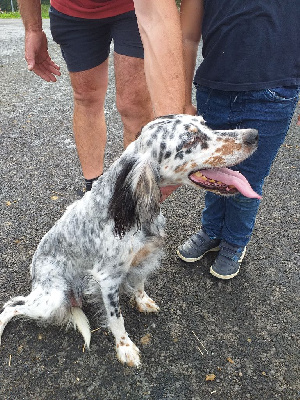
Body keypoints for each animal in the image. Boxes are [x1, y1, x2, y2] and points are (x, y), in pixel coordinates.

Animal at [0, 114, 260, 368]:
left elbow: (140, 284)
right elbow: (117, 319)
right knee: (12, 306)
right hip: (52, 299)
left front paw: (142, 301)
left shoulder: (144, 258)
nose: (254, 135)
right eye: (190, 140)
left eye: (205, 124)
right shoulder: (107, 279)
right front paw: (125, 348)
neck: (132, 208)